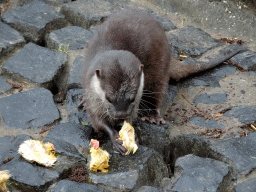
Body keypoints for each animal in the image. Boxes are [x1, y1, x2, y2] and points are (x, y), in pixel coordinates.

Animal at [82, 8, 246, 154]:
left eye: (132, 98)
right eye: (109, 98)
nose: (120, 114)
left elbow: (131, 118)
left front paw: (130, 133)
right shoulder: (91, 94)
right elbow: (97, 121)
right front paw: (115, 137)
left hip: (160, 67)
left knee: (159, 90)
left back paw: (154, 115)